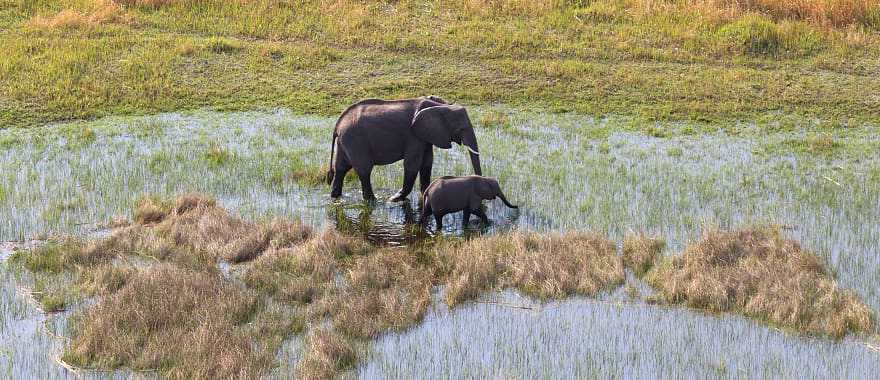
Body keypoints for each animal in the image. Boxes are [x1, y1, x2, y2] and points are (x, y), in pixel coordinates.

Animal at [328, 96, 482, 200]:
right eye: (461, 129)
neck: (441, 105)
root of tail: (338, 124)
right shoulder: (413, 135)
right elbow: (412, 164)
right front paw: (394, 199)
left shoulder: (425, 136)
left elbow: (427, 163)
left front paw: (425, 194)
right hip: (355, 140)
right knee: (364, 169)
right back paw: (372, 201)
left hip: (345, 141)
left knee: (341, 167)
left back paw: (335, 197)